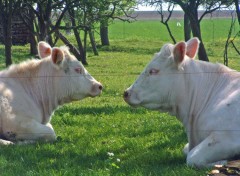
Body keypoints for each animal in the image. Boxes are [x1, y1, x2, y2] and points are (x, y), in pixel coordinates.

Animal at [124, 37, 240, 168]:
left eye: (153, 71)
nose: (126, 93)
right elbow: (186, 150)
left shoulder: (227, 136)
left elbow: (192, 157)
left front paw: (225, 162)